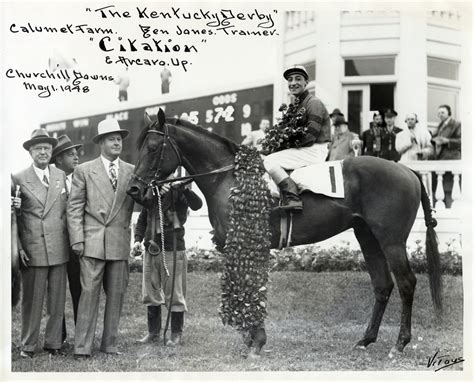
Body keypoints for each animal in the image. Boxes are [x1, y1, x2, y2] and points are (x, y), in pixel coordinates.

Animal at [126, 109, 440, 356]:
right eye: (140, 146)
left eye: (152, 147)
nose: (134, 189)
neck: (229, 176)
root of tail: (409, 171)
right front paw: (251, 338)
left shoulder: (247, 243)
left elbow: (250, 287)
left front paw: (256, 341)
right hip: (367, 237)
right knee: (382, 285)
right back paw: (366, 339)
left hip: (392, 241)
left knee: (407, 283)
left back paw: (399, 344)